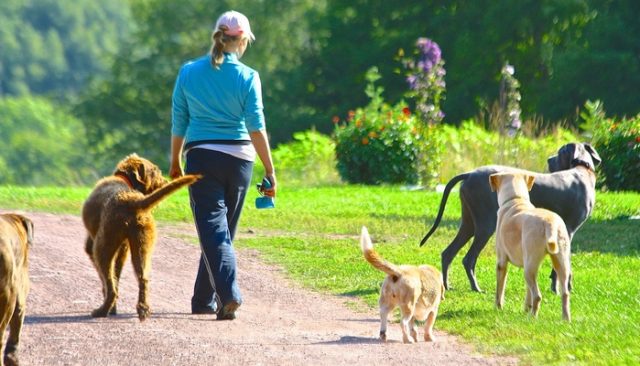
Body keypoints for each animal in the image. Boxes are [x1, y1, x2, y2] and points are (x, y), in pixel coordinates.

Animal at [82, 154, 199, 320]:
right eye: (155, 171)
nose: (166, 182)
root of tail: (134, 202)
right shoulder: (123, 249)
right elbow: (117, 273)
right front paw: (114, 309)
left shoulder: (92, 246)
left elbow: (107, 278)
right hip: (143, 243)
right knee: (142, 277)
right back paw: (143, 309)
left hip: (103, 243)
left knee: (111, 284)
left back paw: (102, 311)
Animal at [420, 142, 600, 294]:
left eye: (561, 152)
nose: (549, 159)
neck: (582, 169)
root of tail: (470, 174)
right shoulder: (568, 231)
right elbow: (563, 265)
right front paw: (560, 289)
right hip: (486, 225)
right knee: (468, 259)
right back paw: (476, 288)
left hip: (469, 223)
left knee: (448, 253)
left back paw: (446, 286)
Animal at [488, 172, 572, 320]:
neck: (516, 199)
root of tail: (550, 223)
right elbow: (528, 292)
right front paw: (526, 308)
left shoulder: (501, 262)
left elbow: (500, 289)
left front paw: (498, 308)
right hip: (559, 263)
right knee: (564, 293)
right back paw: (565, 319)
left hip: (528, 268)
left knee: (537, 296)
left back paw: (532, 318)